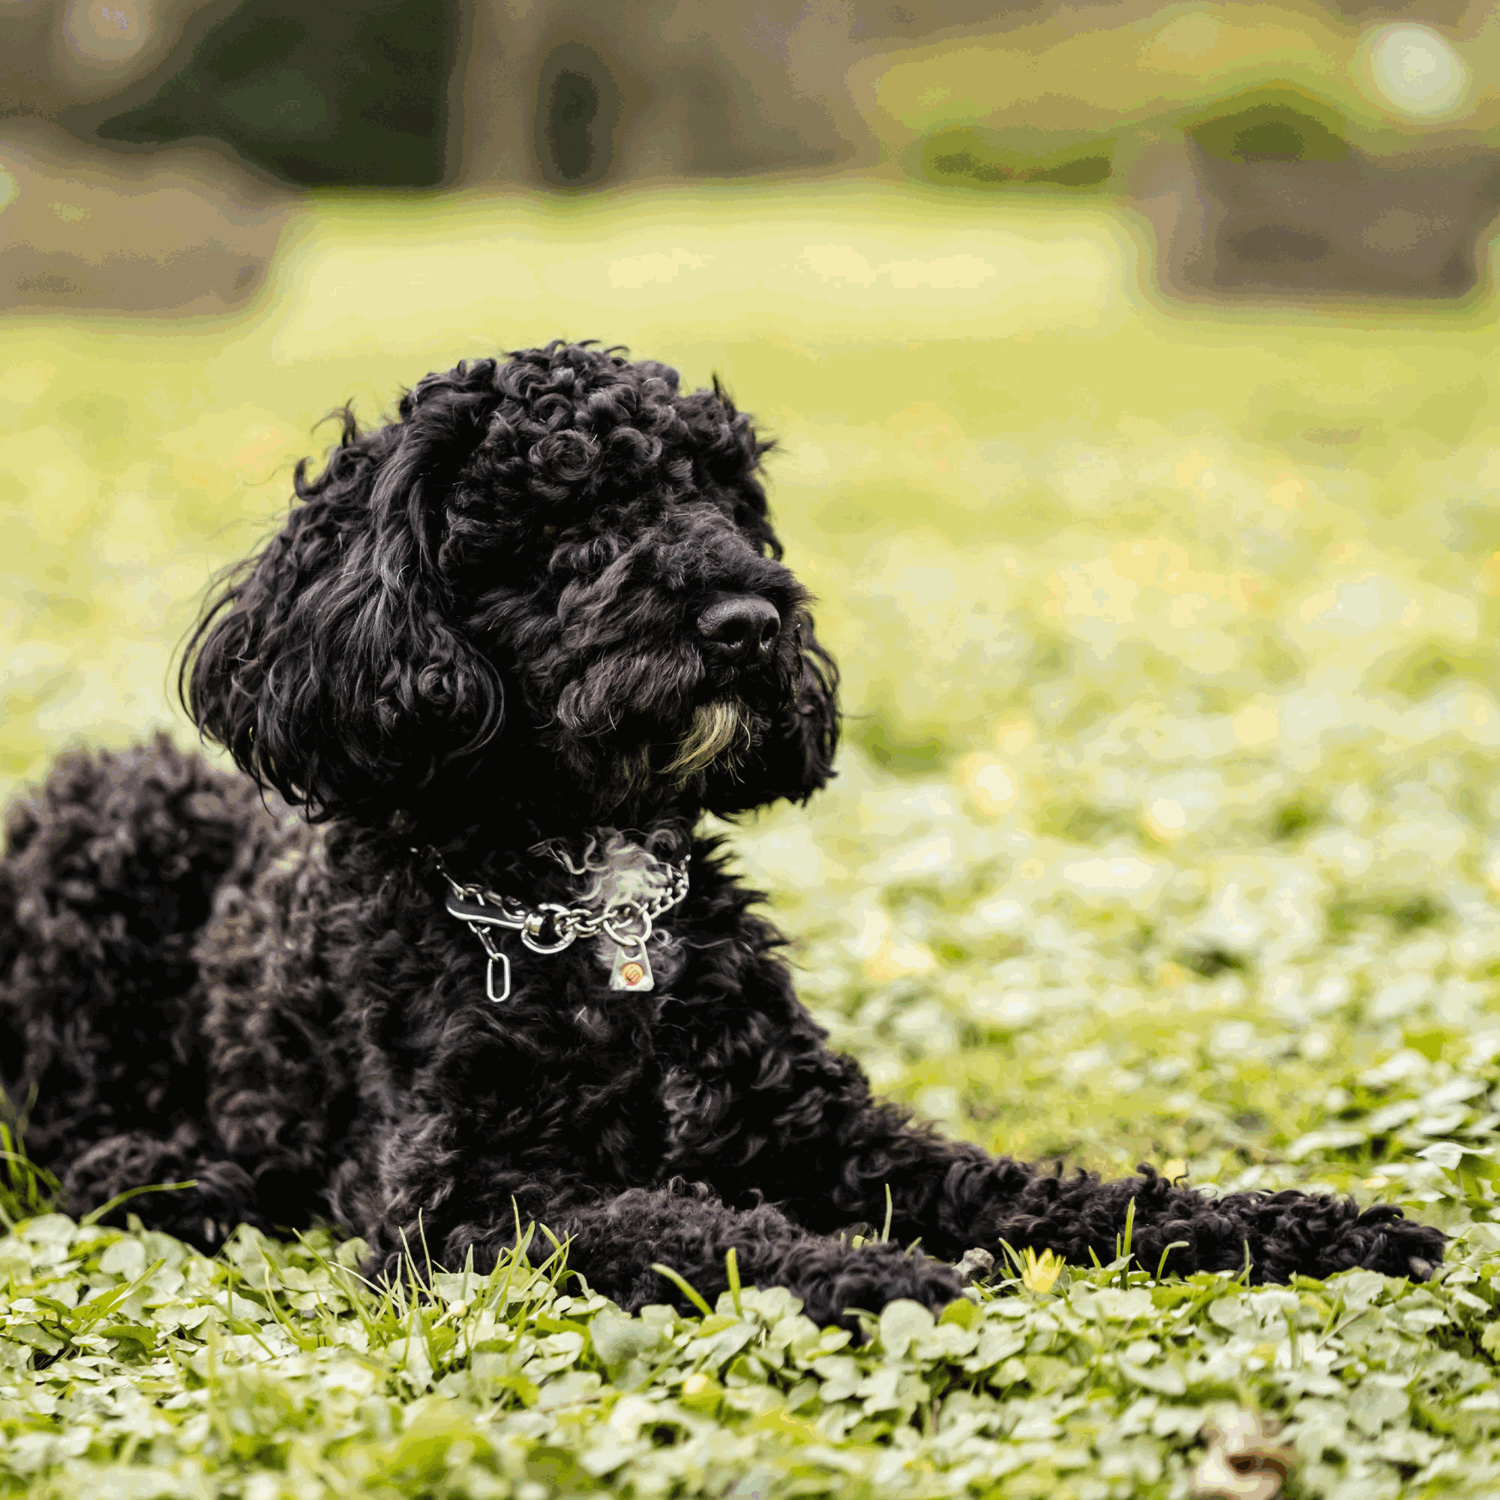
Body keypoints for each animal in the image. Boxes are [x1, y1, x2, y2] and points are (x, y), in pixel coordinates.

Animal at [0, 345, 1440, 1320]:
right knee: (61, 1128)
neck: (593, 903)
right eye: (569, 517)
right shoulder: (464, 1205)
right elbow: (693, 1227)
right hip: (100, 839)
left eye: (727, 500)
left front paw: (1302, 1227)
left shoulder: (833, 1137)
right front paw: (884, 1274)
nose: (750, 620)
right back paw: (168, 1173)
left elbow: (1053, 1189)